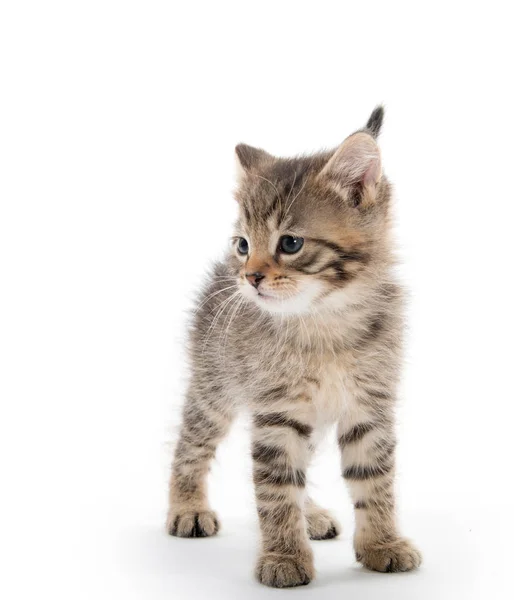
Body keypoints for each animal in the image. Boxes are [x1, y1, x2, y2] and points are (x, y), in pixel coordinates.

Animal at [167, 106, 420, 584]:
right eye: (243, 244)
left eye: (290, 243)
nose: (249, 276)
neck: (326, 319)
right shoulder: (277, 412)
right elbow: (277, 486)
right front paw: (284, 557)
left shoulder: (369, 406)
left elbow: (374, 479)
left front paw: (382, 544)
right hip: (214, 386)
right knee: (191, 444)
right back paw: (186, 505)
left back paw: (313, 514)